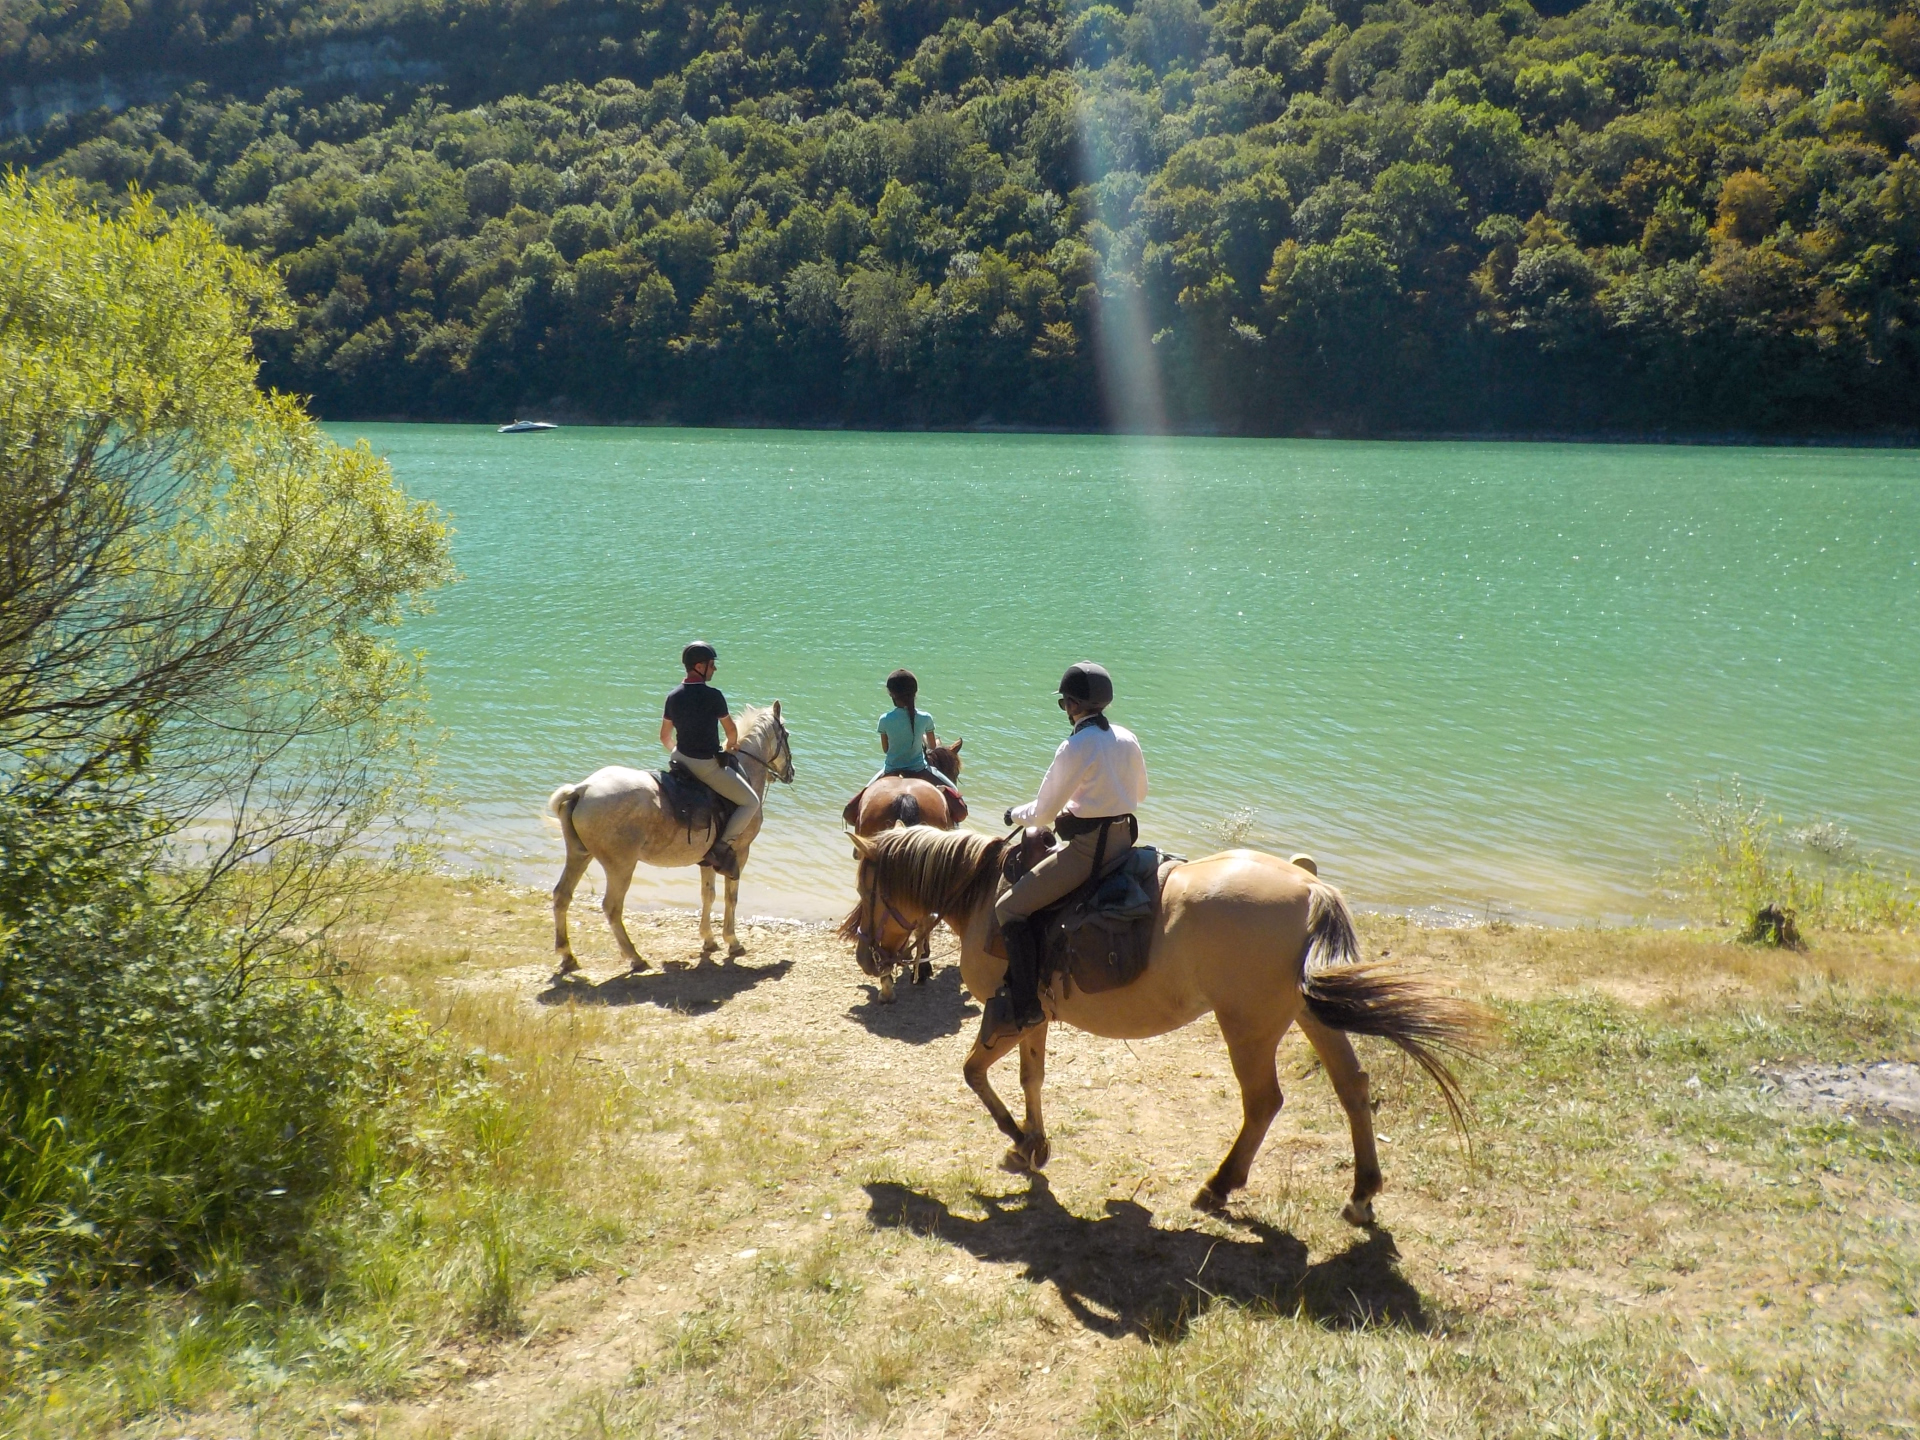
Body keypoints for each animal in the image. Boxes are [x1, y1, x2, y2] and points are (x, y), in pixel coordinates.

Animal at [547, 703, 794, 976]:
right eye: (787, 735)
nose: (791, 773)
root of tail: (583, 789)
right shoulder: (740, 852)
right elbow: (731, 897)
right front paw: (732, 941)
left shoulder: (709, 859)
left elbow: (708, 895)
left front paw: (708, 939)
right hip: (621, 866)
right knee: (611, 907)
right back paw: (635, 957)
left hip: (579, 854)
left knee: (562, 896)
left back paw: (567, 956)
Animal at [841, 827, 1488, 1224]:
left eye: (865, 887)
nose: (866, 953)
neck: (984, 899)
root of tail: (1309, 885)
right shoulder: (1034, 1018)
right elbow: (1032, 1079)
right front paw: (1034, 1144)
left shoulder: (1010, 1015)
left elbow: (974, 1074)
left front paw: (1019, 1140)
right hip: (1308, 1015)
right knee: (1352, 1087)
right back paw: (1360, 1195)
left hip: (1249, 1027)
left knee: (1263, 1102)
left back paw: (1219, 1185)